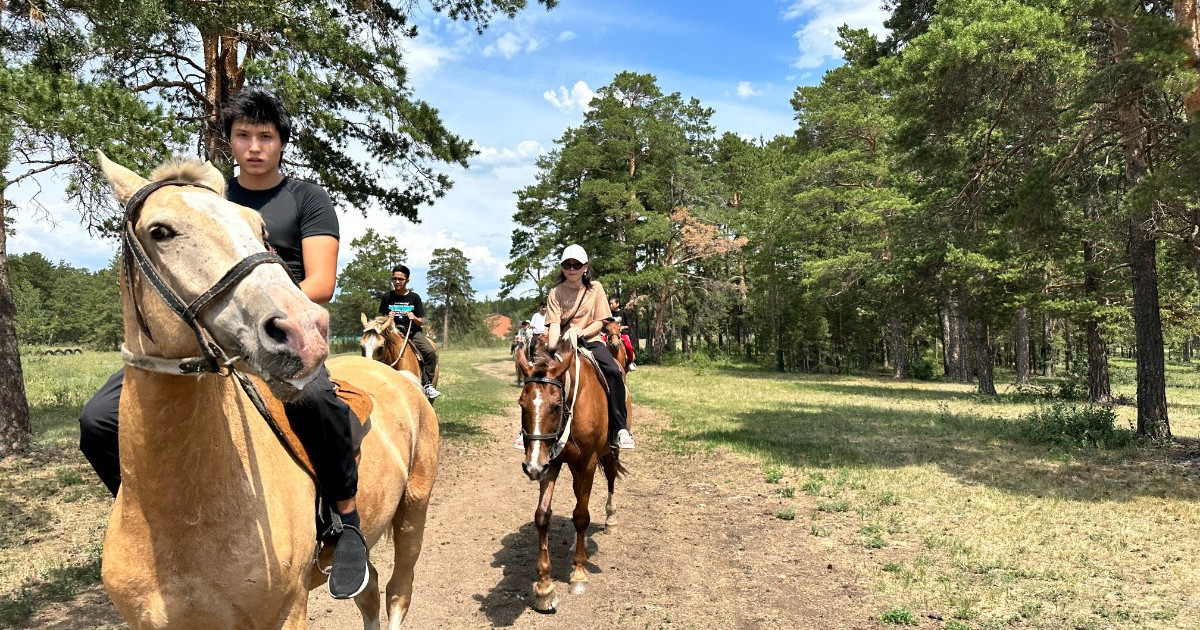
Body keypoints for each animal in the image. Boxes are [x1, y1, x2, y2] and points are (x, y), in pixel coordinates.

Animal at [97, 153, 436, 628]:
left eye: (259, 230)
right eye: (160, 231)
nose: (304, 330)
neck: (184, 515)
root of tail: (403, 380)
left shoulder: (287, 611)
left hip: (413, 513)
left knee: (397, 593)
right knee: (368, 596)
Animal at [513, 336, 628, 612]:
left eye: (556, 406)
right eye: (522, 405)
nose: (531, 467)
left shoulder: (586, 463)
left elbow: (581, 516)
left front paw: (578, 574)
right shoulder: (550, 463)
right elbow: (542, 516)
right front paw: (544, 588)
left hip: (608, 453)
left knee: (609, 479)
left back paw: (610, 519)